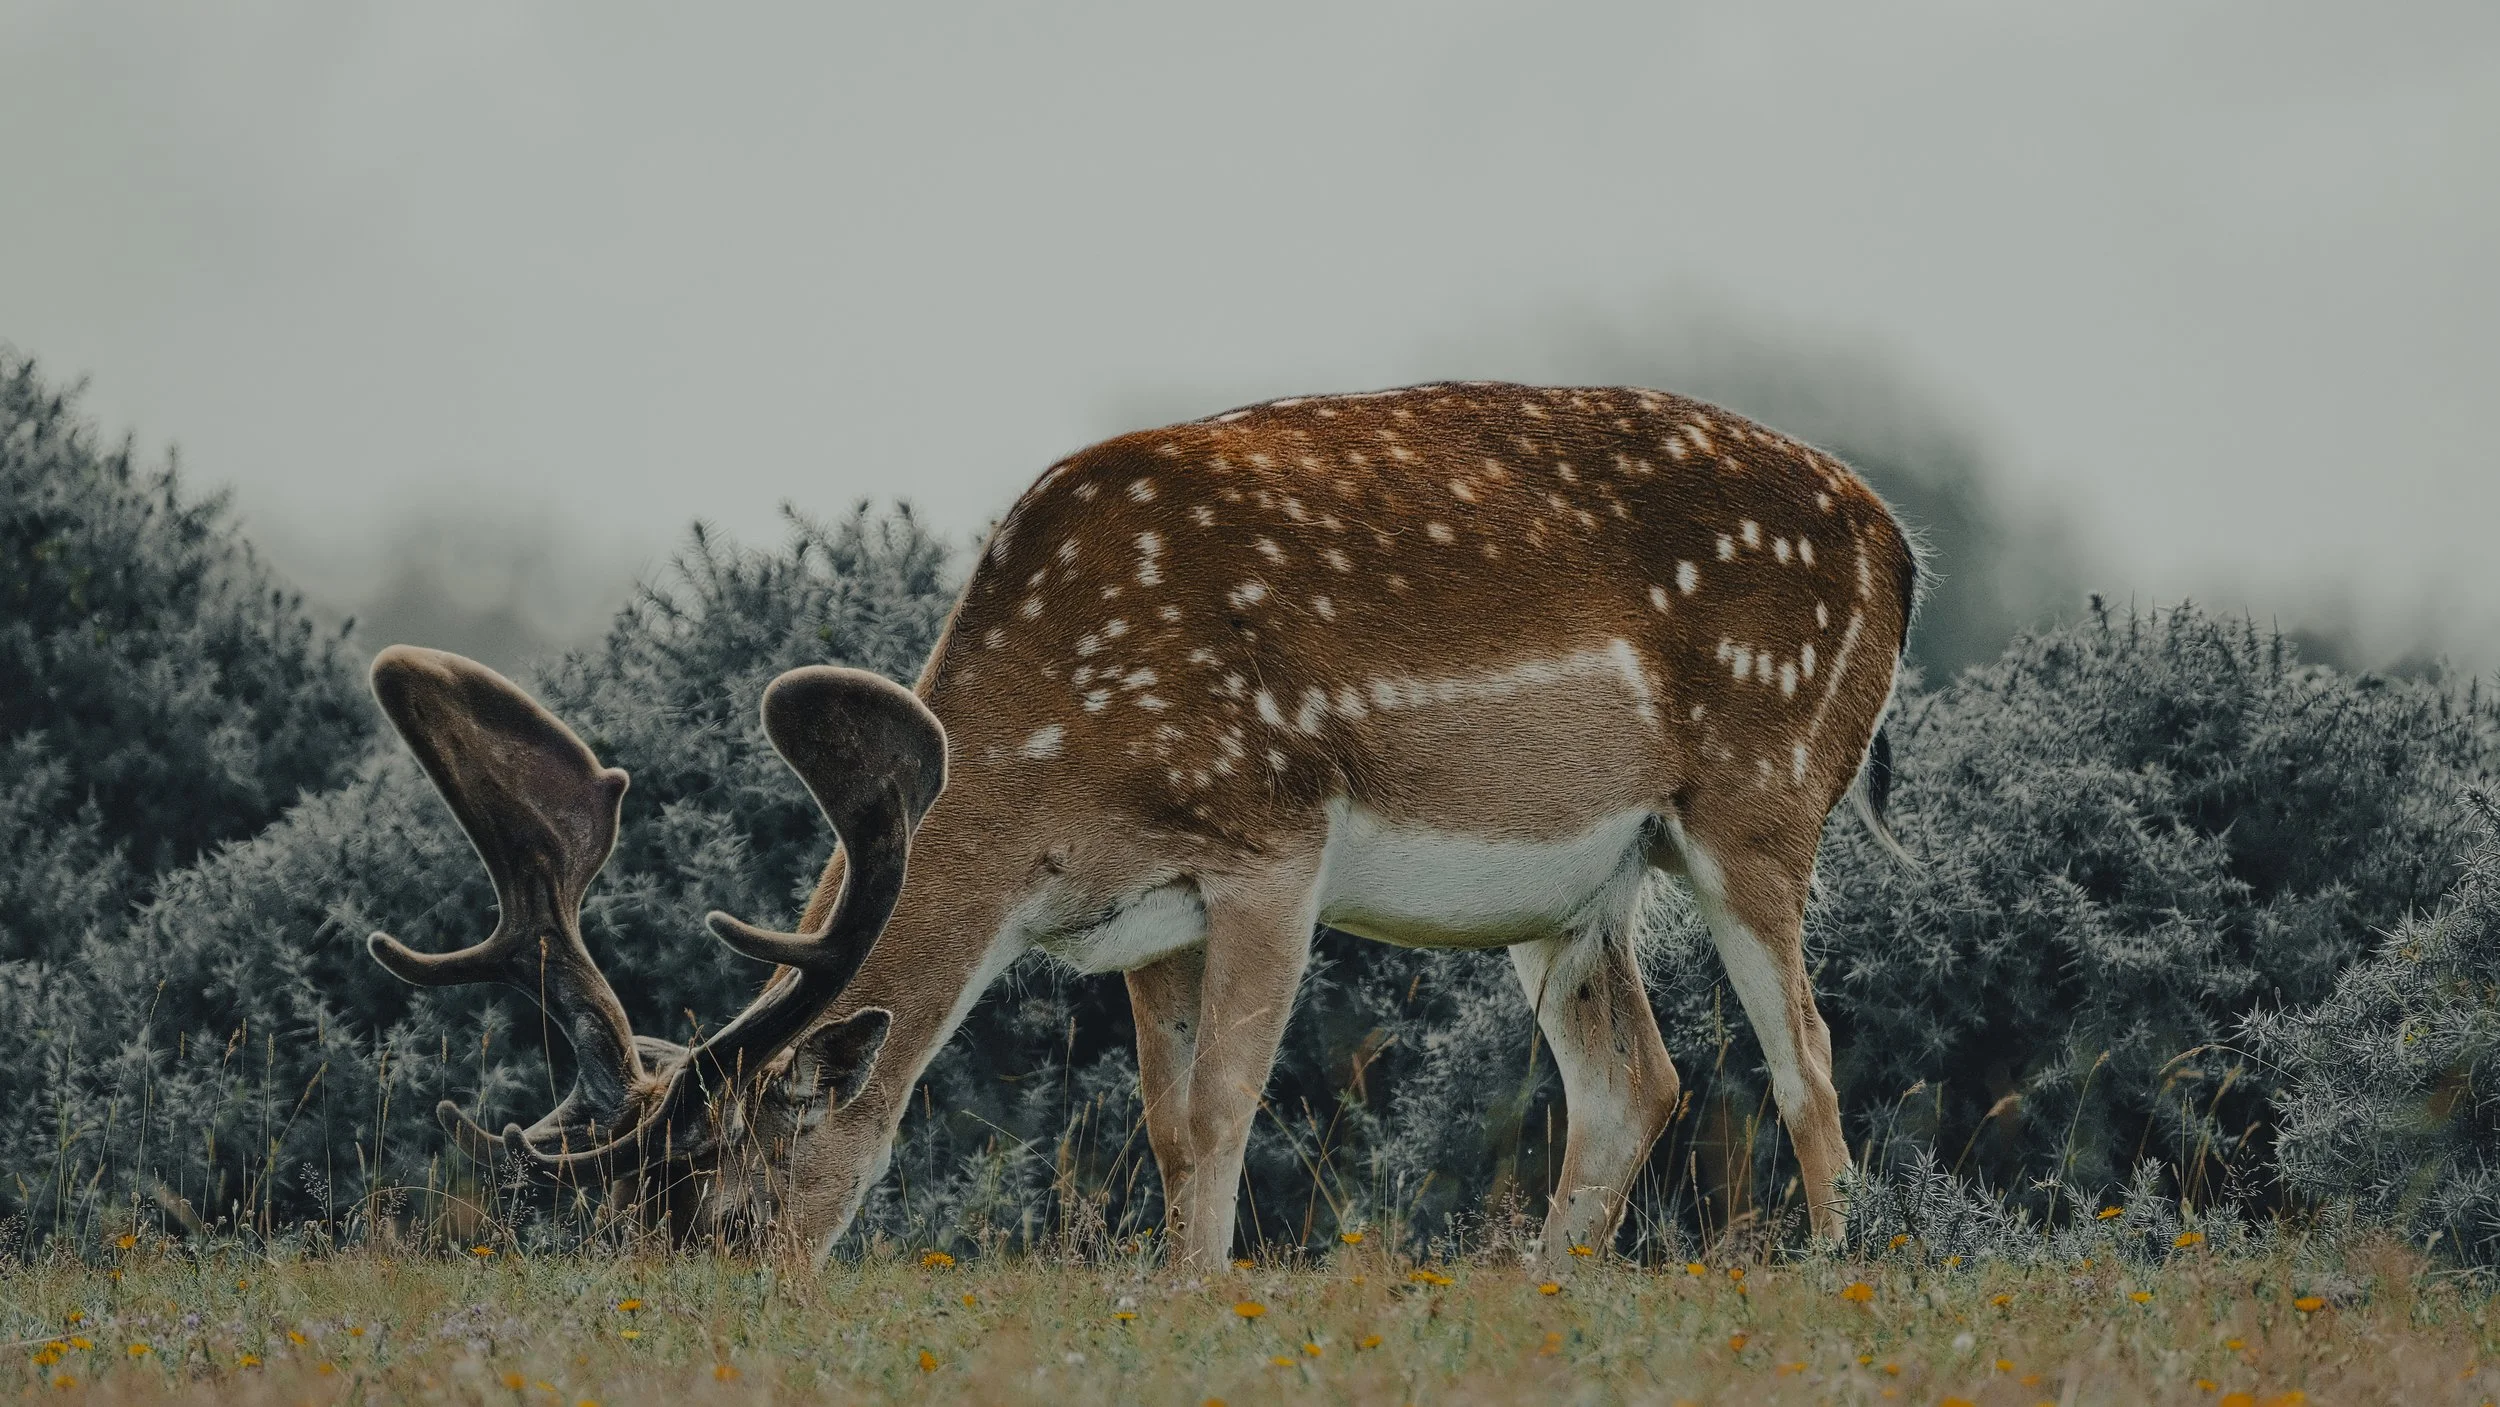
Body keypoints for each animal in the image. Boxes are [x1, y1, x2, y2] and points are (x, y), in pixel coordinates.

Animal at [366, 381, 1917, 1266]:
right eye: (625, 1214)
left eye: (735, 1201)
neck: (1058, 769)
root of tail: (1901, 548)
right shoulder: (1142, 917)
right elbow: (1167, 1124)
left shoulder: (1272, 834)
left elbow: (1226, 1107)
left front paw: (1198, 1298)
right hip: (1567, 896)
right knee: (1634, 1083)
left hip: (1761, 796)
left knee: (1809, 1065)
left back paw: (1837, 1278)